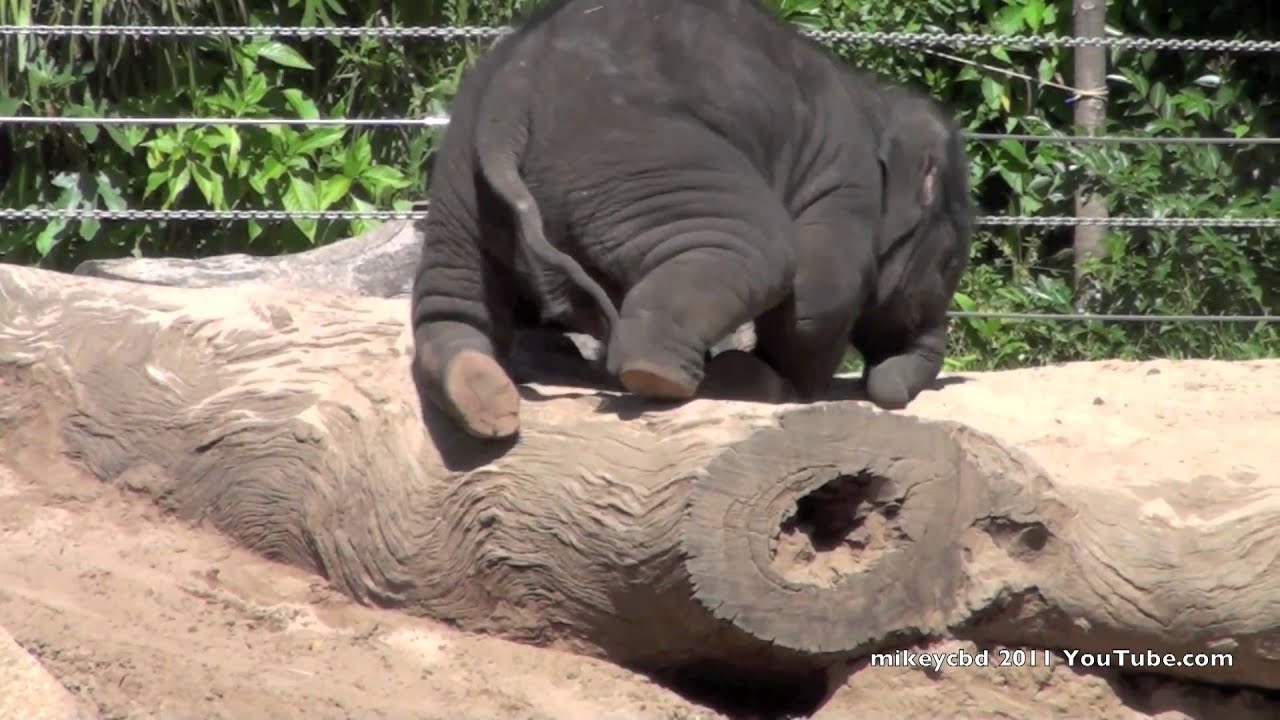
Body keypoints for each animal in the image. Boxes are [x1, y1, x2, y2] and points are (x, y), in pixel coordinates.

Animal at [409, 0, 973, 439]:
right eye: (950, 266)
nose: (891, 393)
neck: (876, 100)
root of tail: (508, 99)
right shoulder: (846, 184)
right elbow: (819, 293)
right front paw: (798, 390)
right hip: (641, 156)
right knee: (759, 250)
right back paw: (669, 377)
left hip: (459, 181)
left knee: (452, 300)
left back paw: (477, 391)